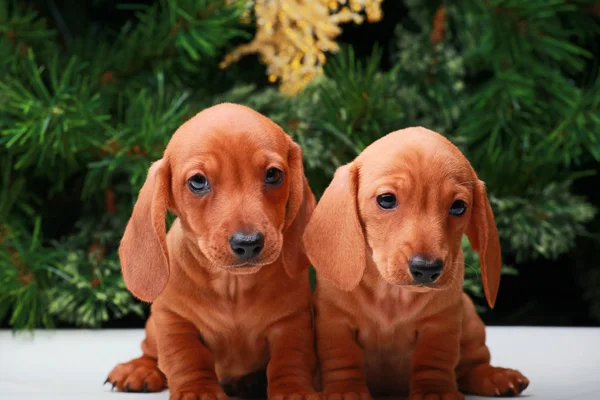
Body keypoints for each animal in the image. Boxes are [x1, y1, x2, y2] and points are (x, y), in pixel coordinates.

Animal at [105, 103, 318, 400]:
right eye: (198, 181)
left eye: (273, 174)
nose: (248, 242)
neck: (232, 287)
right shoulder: (174, 320)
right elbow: (188, 358)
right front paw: (198, 391)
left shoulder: (291, 321)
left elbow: (290, 358)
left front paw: (293, 390)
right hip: (152, 328)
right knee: (151, 352)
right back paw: (139, 369)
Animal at [304, 128, 528, 400]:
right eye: (386, 199)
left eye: (459, 207)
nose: (427, 268)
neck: (392, 296)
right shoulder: (335, 321)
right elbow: (341, 357)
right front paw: (346, 390)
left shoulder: (440, 325)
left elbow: (433, 361)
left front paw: (435, 391)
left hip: (470, 320)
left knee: (471, 366)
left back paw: (495, 375)